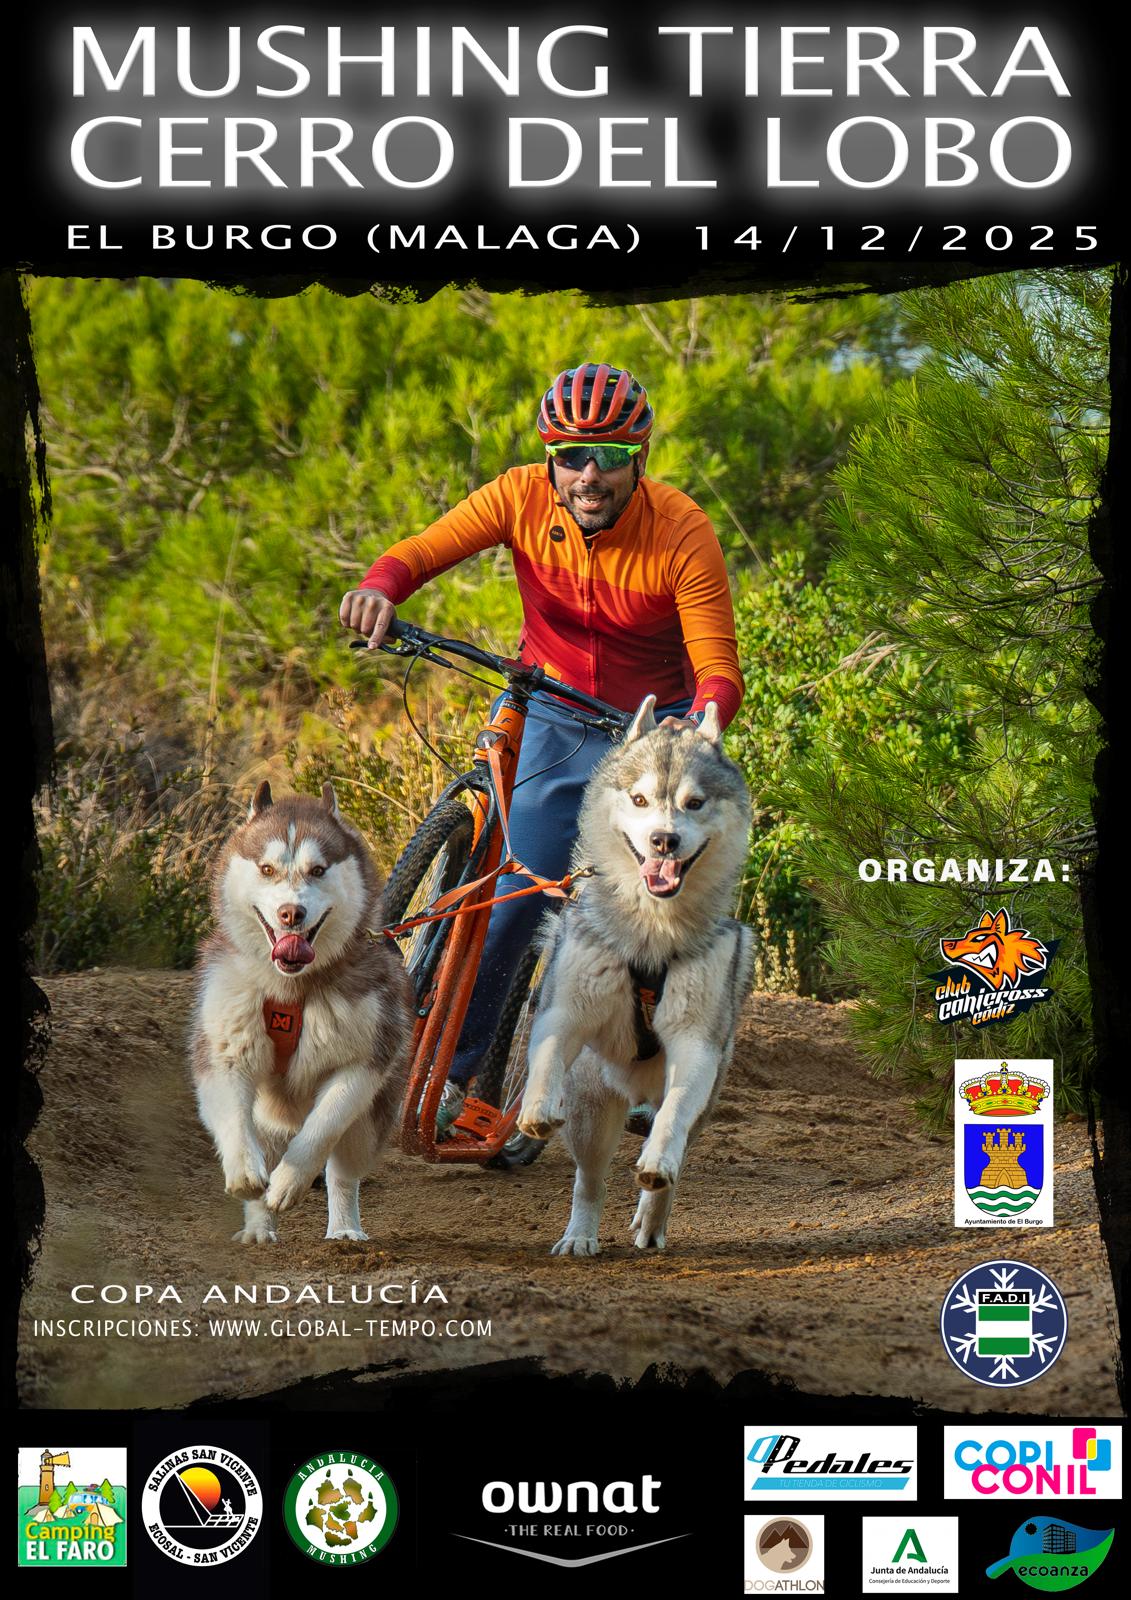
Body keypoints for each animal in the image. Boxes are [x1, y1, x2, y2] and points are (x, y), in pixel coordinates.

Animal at [191, 781, 412, 1244]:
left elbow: (322, 1128)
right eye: (267, 869)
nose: (291, 913)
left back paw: (344, 1230)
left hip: (370, 1121)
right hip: (267, 1119)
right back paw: (259, 1228)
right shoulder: (223, 1051)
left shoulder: (364, 1062)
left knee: (343, 1171)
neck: (291, 990)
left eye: (318, 870)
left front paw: (290, 1183)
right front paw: (245, 1174)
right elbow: (232, 1118)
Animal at [517, 696, 755, 1255]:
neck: (651, 933)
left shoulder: (696, 1045)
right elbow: (546, 1051)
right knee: (590, 1178)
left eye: (694, 803)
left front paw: (658, 1162)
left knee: (670, 1150)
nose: (663, 840)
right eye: (640, 799)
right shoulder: (566, 1011)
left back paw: (652, 1215)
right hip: (591, 1108)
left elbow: (672, 1118)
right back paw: (579, 1236)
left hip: (702, 1102)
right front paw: (536, 1106)